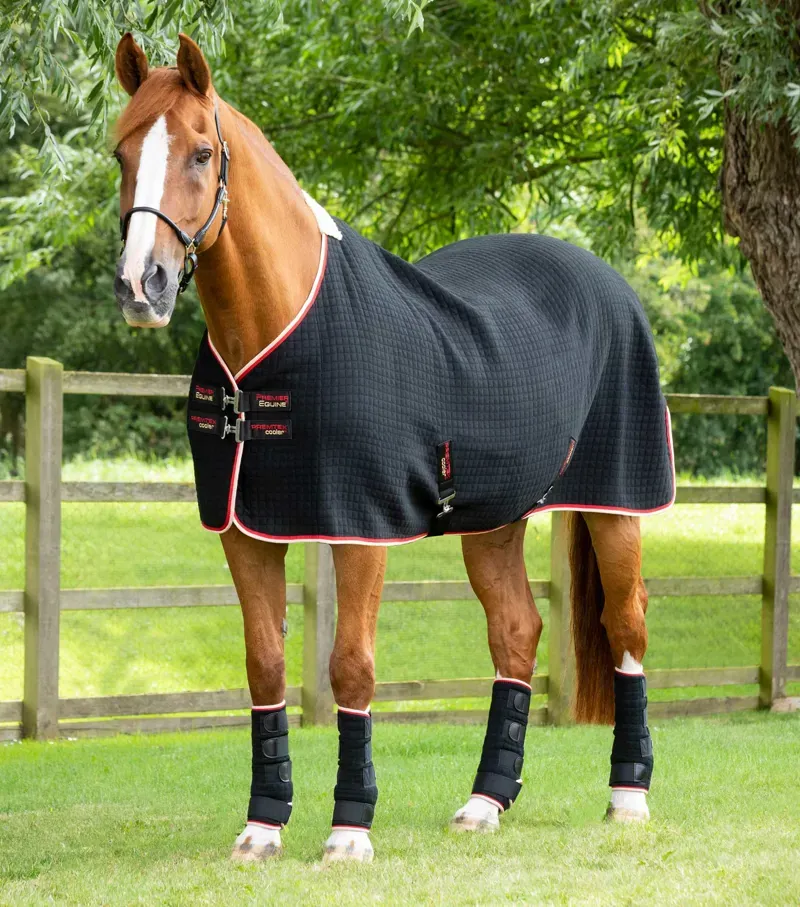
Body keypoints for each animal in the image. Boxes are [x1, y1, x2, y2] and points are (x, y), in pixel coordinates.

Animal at [112, 33, 674, 863]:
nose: (141, 285)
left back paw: (629, 795)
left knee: (626, 624)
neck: (280, 332)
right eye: (121, 152)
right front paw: (262, 824)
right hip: (494, 520)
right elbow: (265, 665)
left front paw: (349, 829)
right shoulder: (244, 531)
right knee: (516, 633)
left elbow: (351, 667)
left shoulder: (359, 528)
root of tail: (604, 279)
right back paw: (484, 801)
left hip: (617, 505)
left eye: (202, 153)